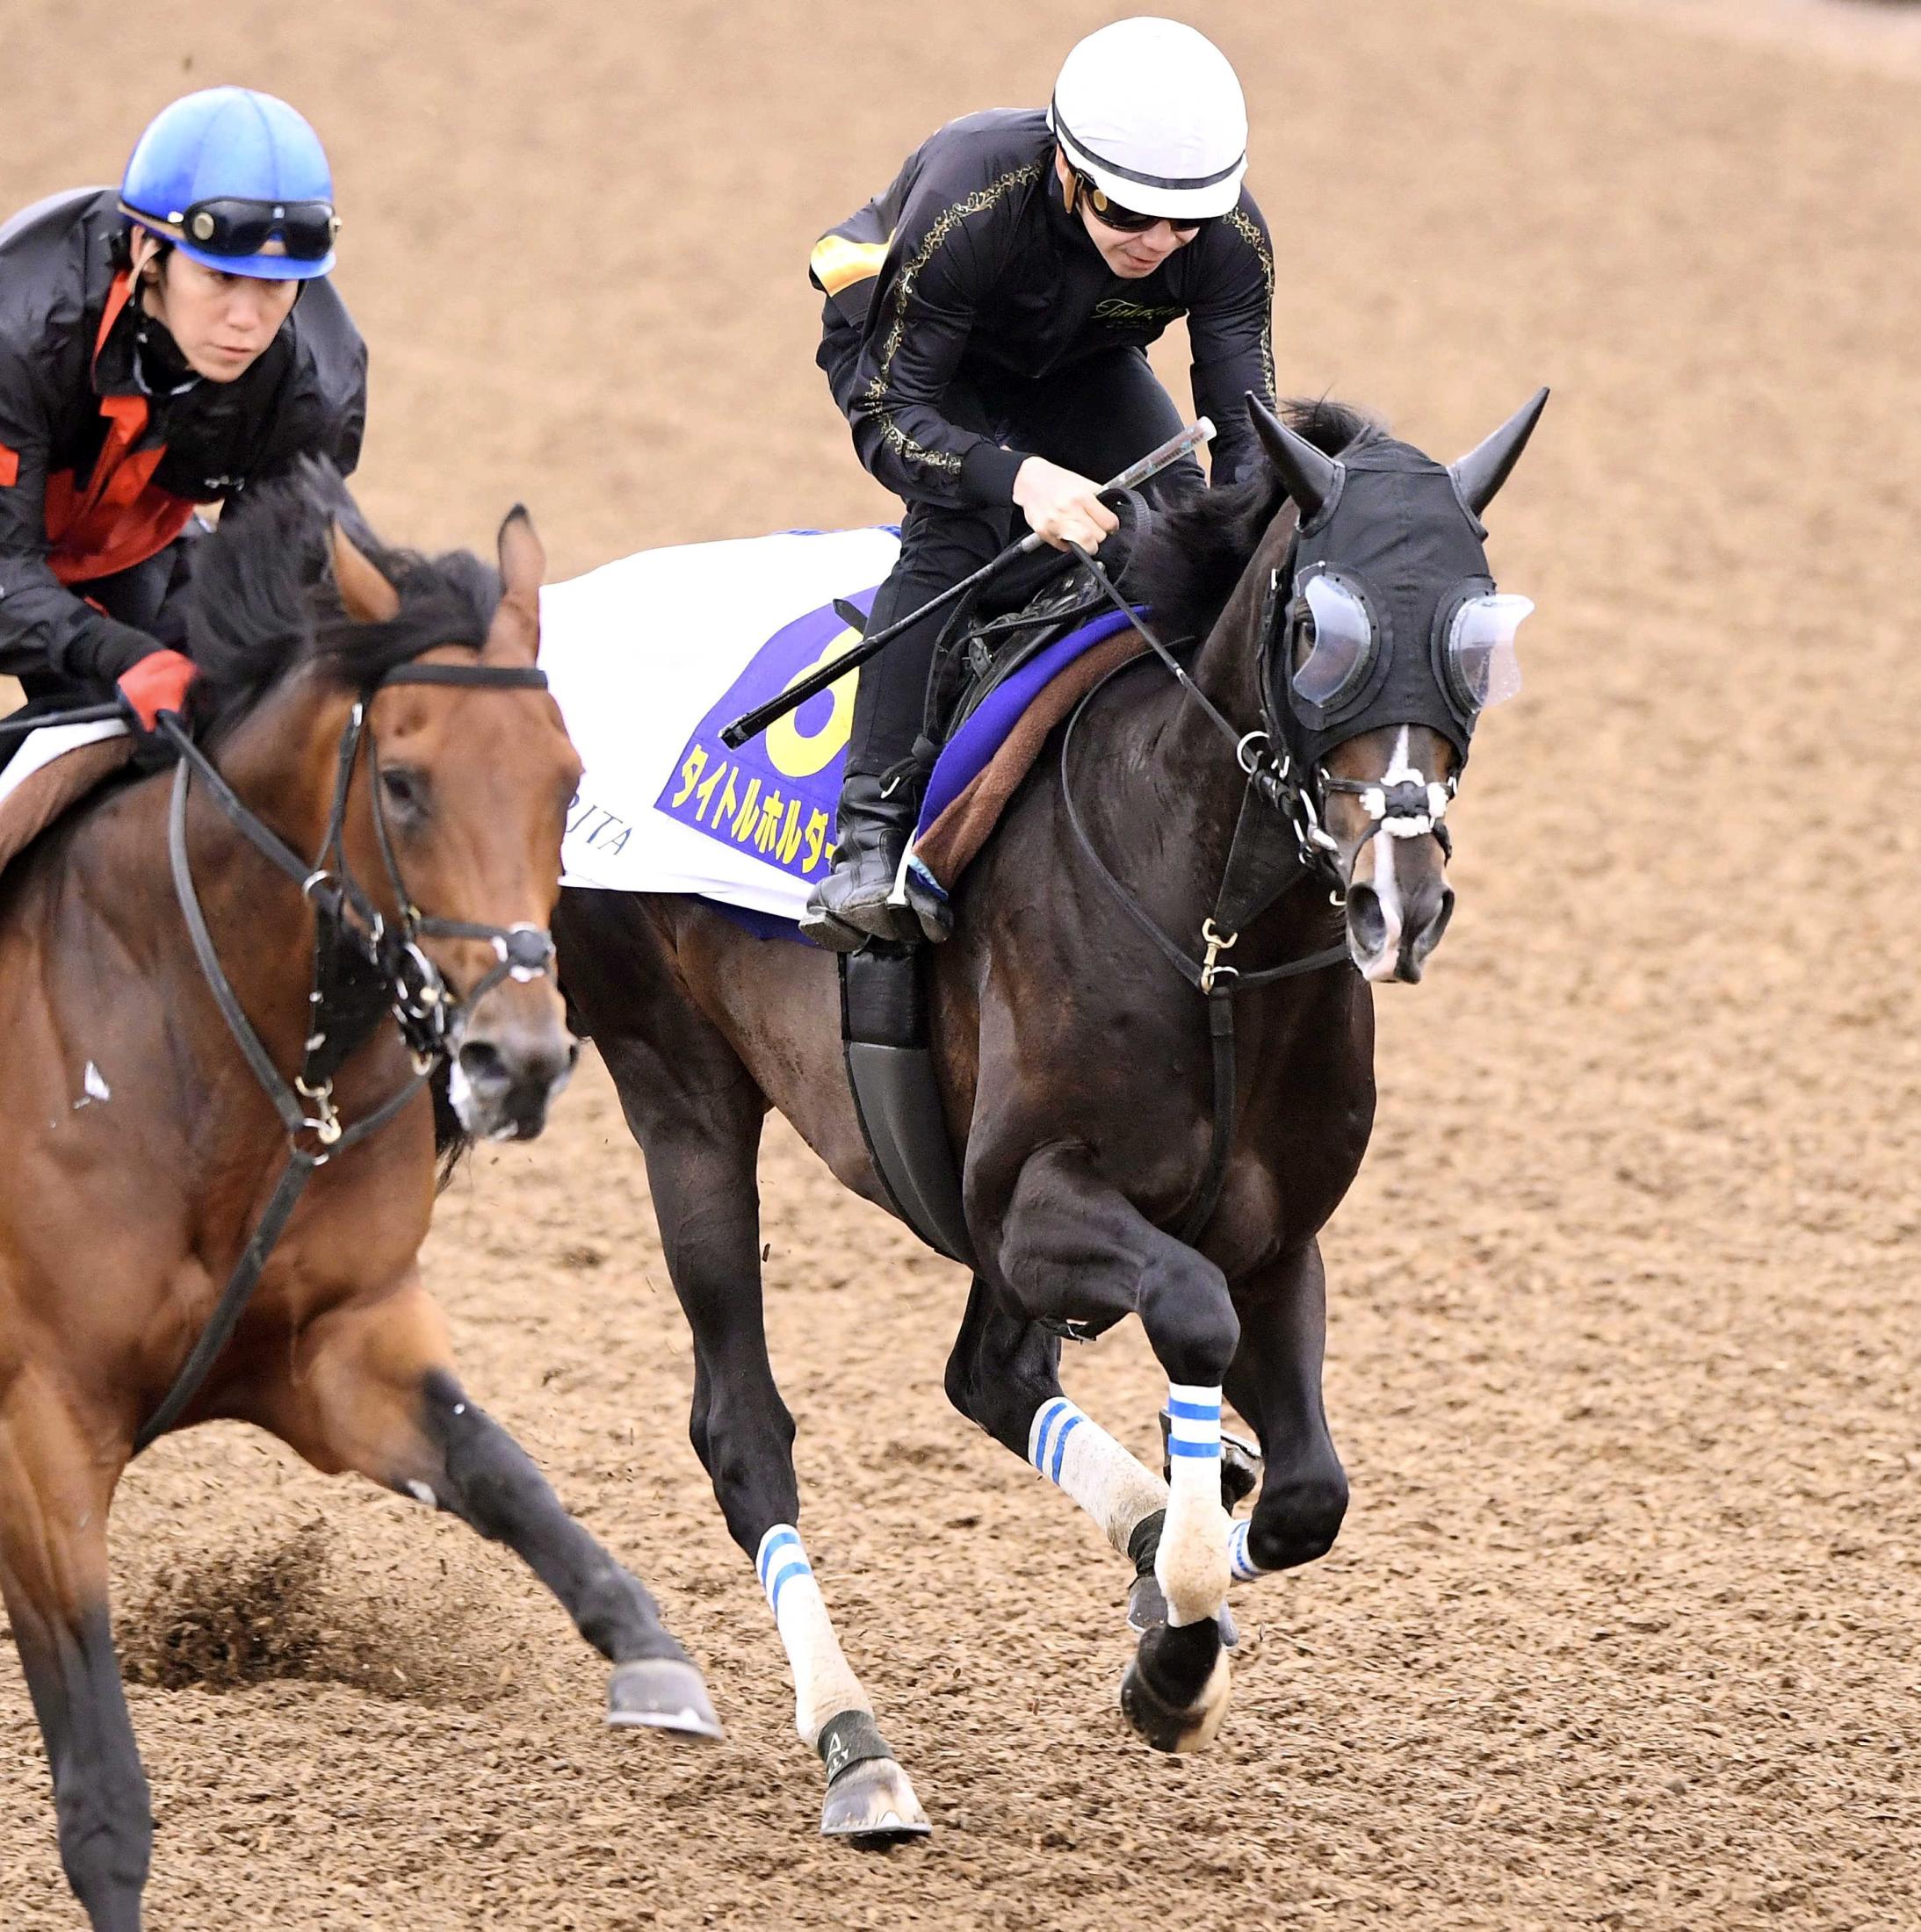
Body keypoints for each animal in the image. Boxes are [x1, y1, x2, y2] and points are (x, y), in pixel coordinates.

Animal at [0, 471, 715, 1932]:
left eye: (568, 783)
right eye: (402, 782)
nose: (519, 1059)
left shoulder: (334, 1348)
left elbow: (505, 1476)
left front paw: (653, 1658)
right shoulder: (36, 1428)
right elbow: (103, 1796)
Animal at [548, 392, 1546, 1839]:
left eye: (1476, 632)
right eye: (1320, 633)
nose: (1395, 904)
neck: (1215, 935)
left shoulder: (1273, 1234)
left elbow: (1306, 1492)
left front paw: (1185, 1573)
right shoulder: (1030, 1202)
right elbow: (1192, 1314)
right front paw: (1177, 1636)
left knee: (991, 1376)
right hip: (677, 1088)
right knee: (742, 1429)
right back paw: (856, 1745)